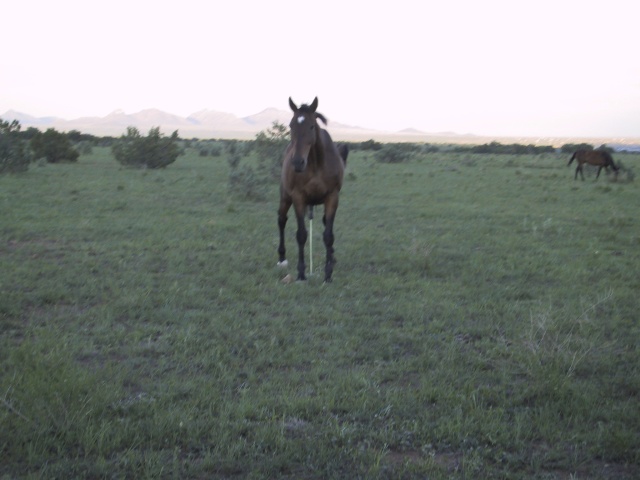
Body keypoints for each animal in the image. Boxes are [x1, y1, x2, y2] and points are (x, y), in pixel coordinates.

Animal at [277, 97, 348, 282]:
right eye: (291, 125)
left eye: (311, 126)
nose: (297, 162)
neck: (316, 163)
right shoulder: (298, 198)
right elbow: (301, 235)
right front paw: (301, 273)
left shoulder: (332, 197)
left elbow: (328, 235)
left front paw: (328, 273)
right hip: (285, 196)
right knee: (281, 220)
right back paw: (282, 258)